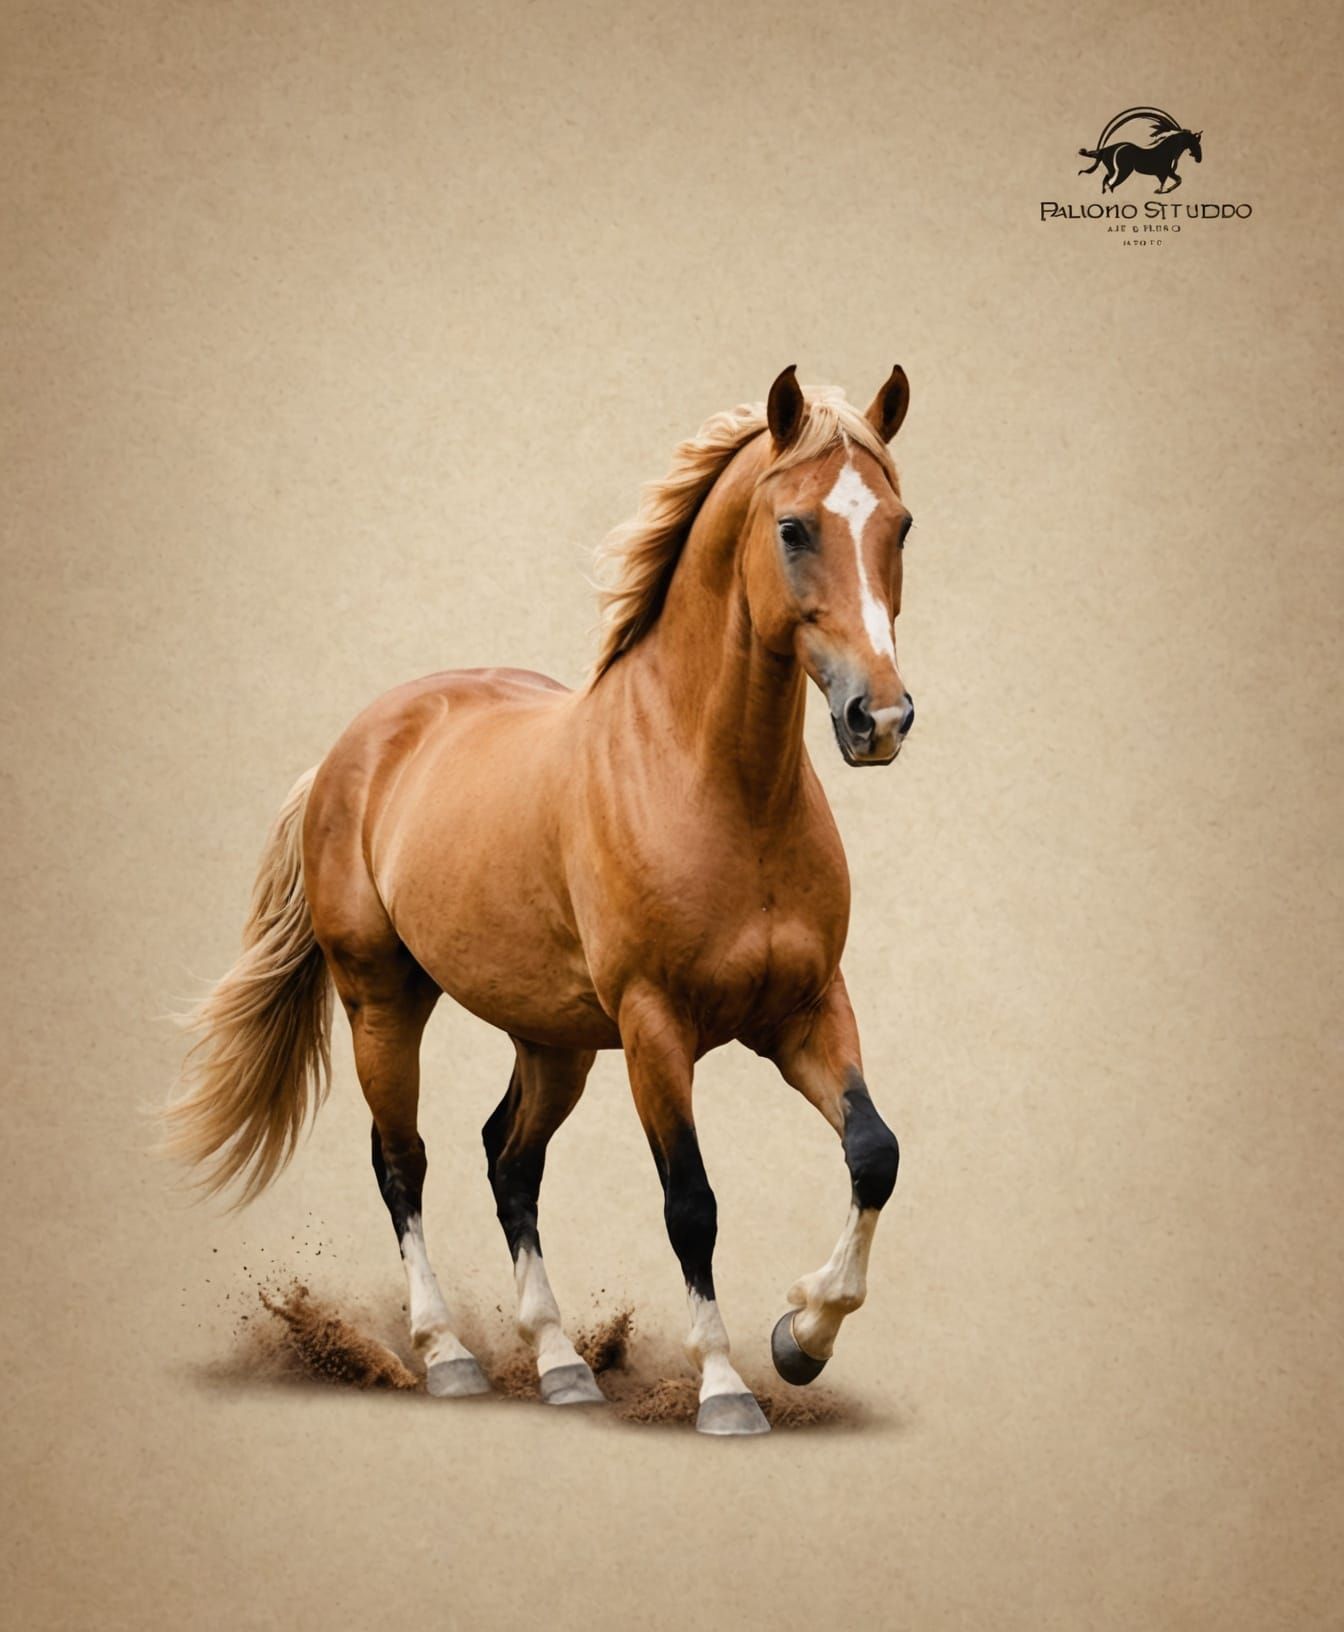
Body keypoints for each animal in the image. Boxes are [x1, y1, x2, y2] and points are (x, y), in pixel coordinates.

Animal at [164, 364, 918, 1436]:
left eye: (900, 523)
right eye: (795, 527)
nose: (879, 719)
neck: (713, 782)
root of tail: (354, 746)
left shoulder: (806, 1011)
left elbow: (873, 1152)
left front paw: (802, 1338)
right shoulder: (655, 1028)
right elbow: (691, 1203)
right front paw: (727, 1387)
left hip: (553, 1040)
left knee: (507, 1160)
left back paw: (561, 1362)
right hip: (383, 1002)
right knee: (404, 1160)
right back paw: (447, 1355)